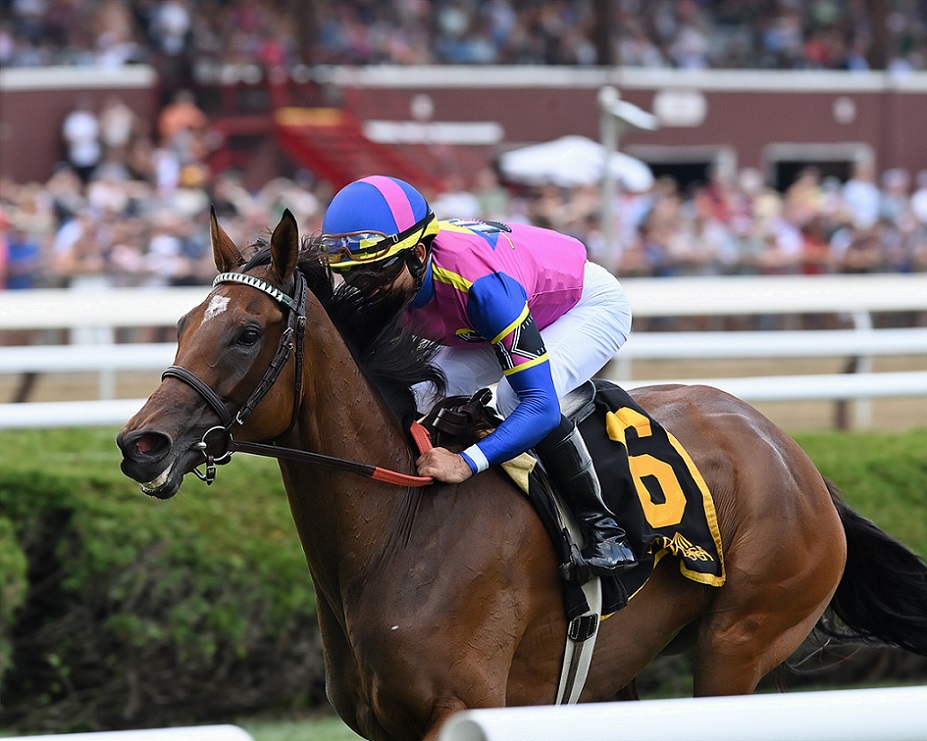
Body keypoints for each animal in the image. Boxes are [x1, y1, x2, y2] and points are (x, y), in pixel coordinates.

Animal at [117, 209, 927, 741]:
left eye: (246, 331)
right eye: (184, 323)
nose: (141, 444)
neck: (400, 527)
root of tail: (797, 460)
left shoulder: (461, 706)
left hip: (740, 642)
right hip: (617, 670)